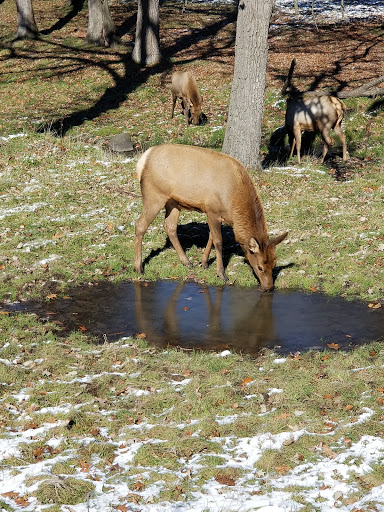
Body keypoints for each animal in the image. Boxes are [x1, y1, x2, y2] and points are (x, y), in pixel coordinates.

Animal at [135, 143, 288, 292]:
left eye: (274, 264)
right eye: (260, 267)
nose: (269, 287)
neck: (234, 203)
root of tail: (143, 160)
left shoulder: (214, 214)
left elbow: (211, 237)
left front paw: (204, 263)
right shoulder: (212, 210)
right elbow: (218, 241)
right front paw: (221, 273)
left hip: (173, 202)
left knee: (169, 226)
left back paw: (187, 262)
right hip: (154, 195)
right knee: (140, 224)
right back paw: (138, 267)